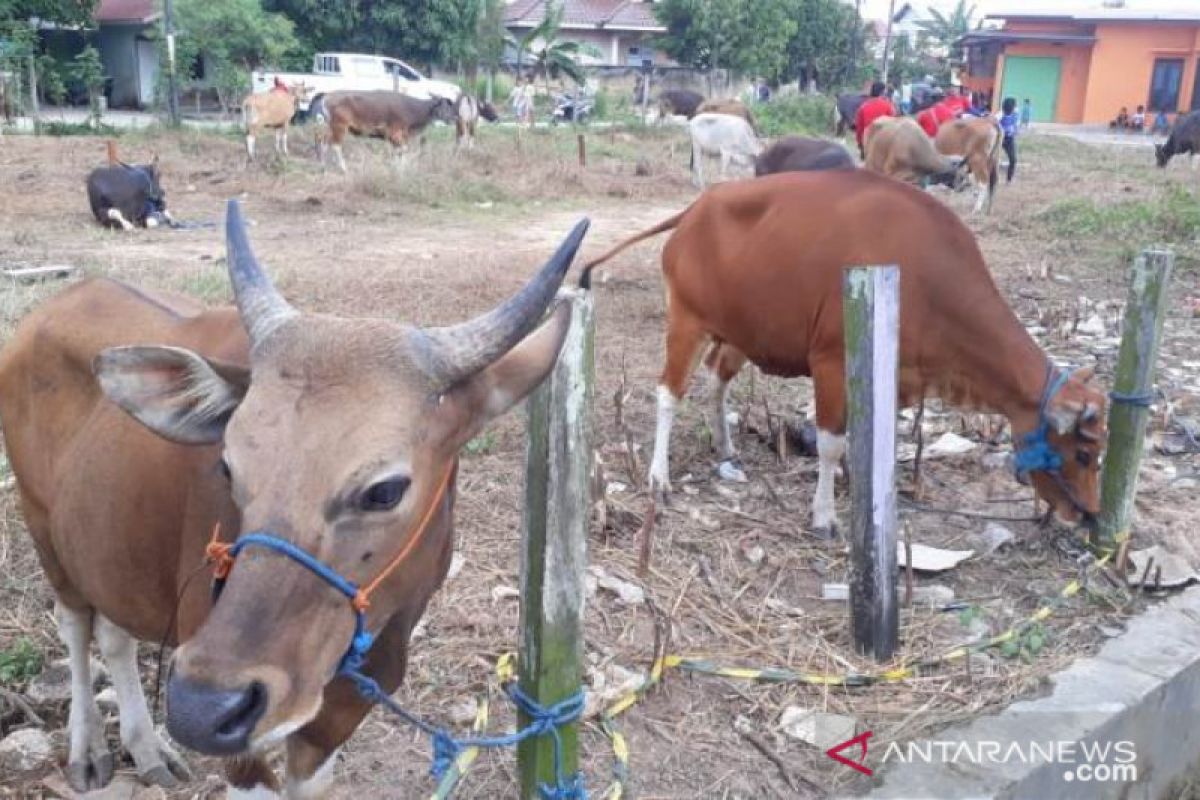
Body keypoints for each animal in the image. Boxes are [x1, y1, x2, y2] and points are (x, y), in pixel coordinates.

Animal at [0, 200, 590, 796]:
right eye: (227, 465)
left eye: (385, 490)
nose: (201, 707)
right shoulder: (241, 746)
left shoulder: (337, 717)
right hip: (42, 525)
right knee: (76, 625)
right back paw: (89, 749)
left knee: (114, 631)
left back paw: (146, 746)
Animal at [321, 90, 456, 172]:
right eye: (444, 107)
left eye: (451, 107)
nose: (454, 118)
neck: (412, 109)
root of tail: (328, 97)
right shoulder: (395, 133)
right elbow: (403, 150)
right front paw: (401, 169)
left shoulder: (397, 137)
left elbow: (398, 152)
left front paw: (397, 168)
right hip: (339, 126)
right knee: (336, 145)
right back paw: (343, 168)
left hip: (331, 126)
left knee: (324, 141)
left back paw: (323, 165)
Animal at [580, 172, 1104, 542]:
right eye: (1082, 451)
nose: (1090, 515)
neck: (928, 278)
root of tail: (694, 210)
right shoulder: (831, 362)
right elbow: (832, 443)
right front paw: (825, 514)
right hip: (687, 322)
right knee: (669, 393)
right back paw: (658, 476)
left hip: (738, 332)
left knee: (717, 380)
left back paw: (726, 447)